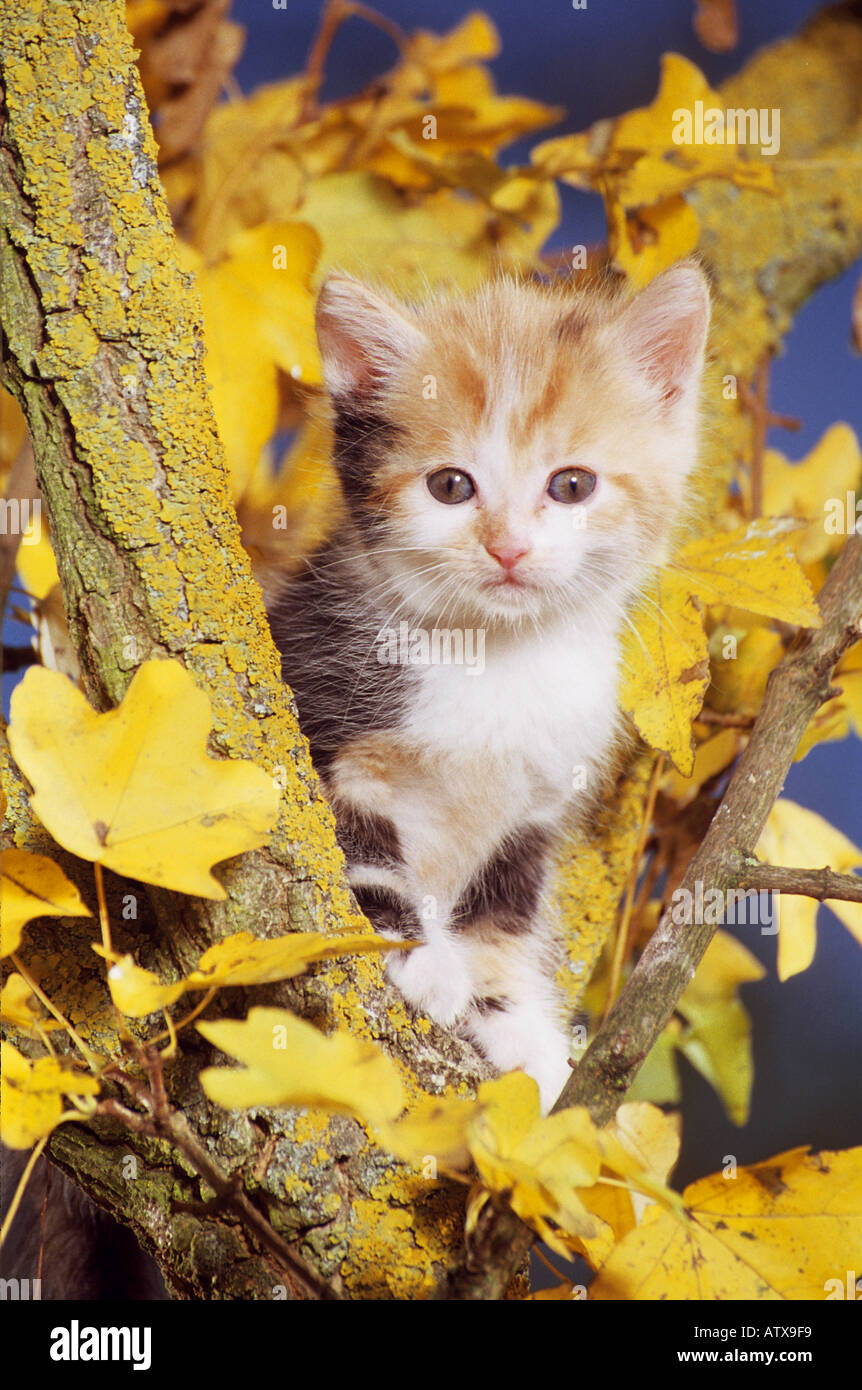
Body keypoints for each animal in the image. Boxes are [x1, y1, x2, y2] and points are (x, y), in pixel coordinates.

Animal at [272, 258, 711, 1106]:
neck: (497, 656)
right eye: (450, 486)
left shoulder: (534, 810)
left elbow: (500, 922)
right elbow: (359, 847)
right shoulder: (321, 714)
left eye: (571, 486)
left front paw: (524, 1034)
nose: (508, 547)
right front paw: (421, 957)